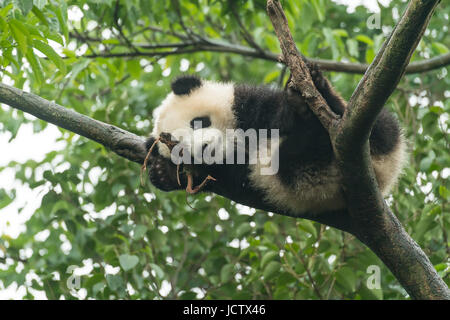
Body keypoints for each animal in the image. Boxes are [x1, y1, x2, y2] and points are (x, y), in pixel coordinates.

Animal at [145, 62, 408, 218]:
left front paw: (298, 103)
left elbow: (272, 111)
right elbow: (228, 178)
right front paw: (162, 173)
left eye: (198, 122)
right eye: (179, 149)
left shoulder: (246, 103)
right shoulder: (232, 176)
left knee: (378, 125)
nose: (205, 149)